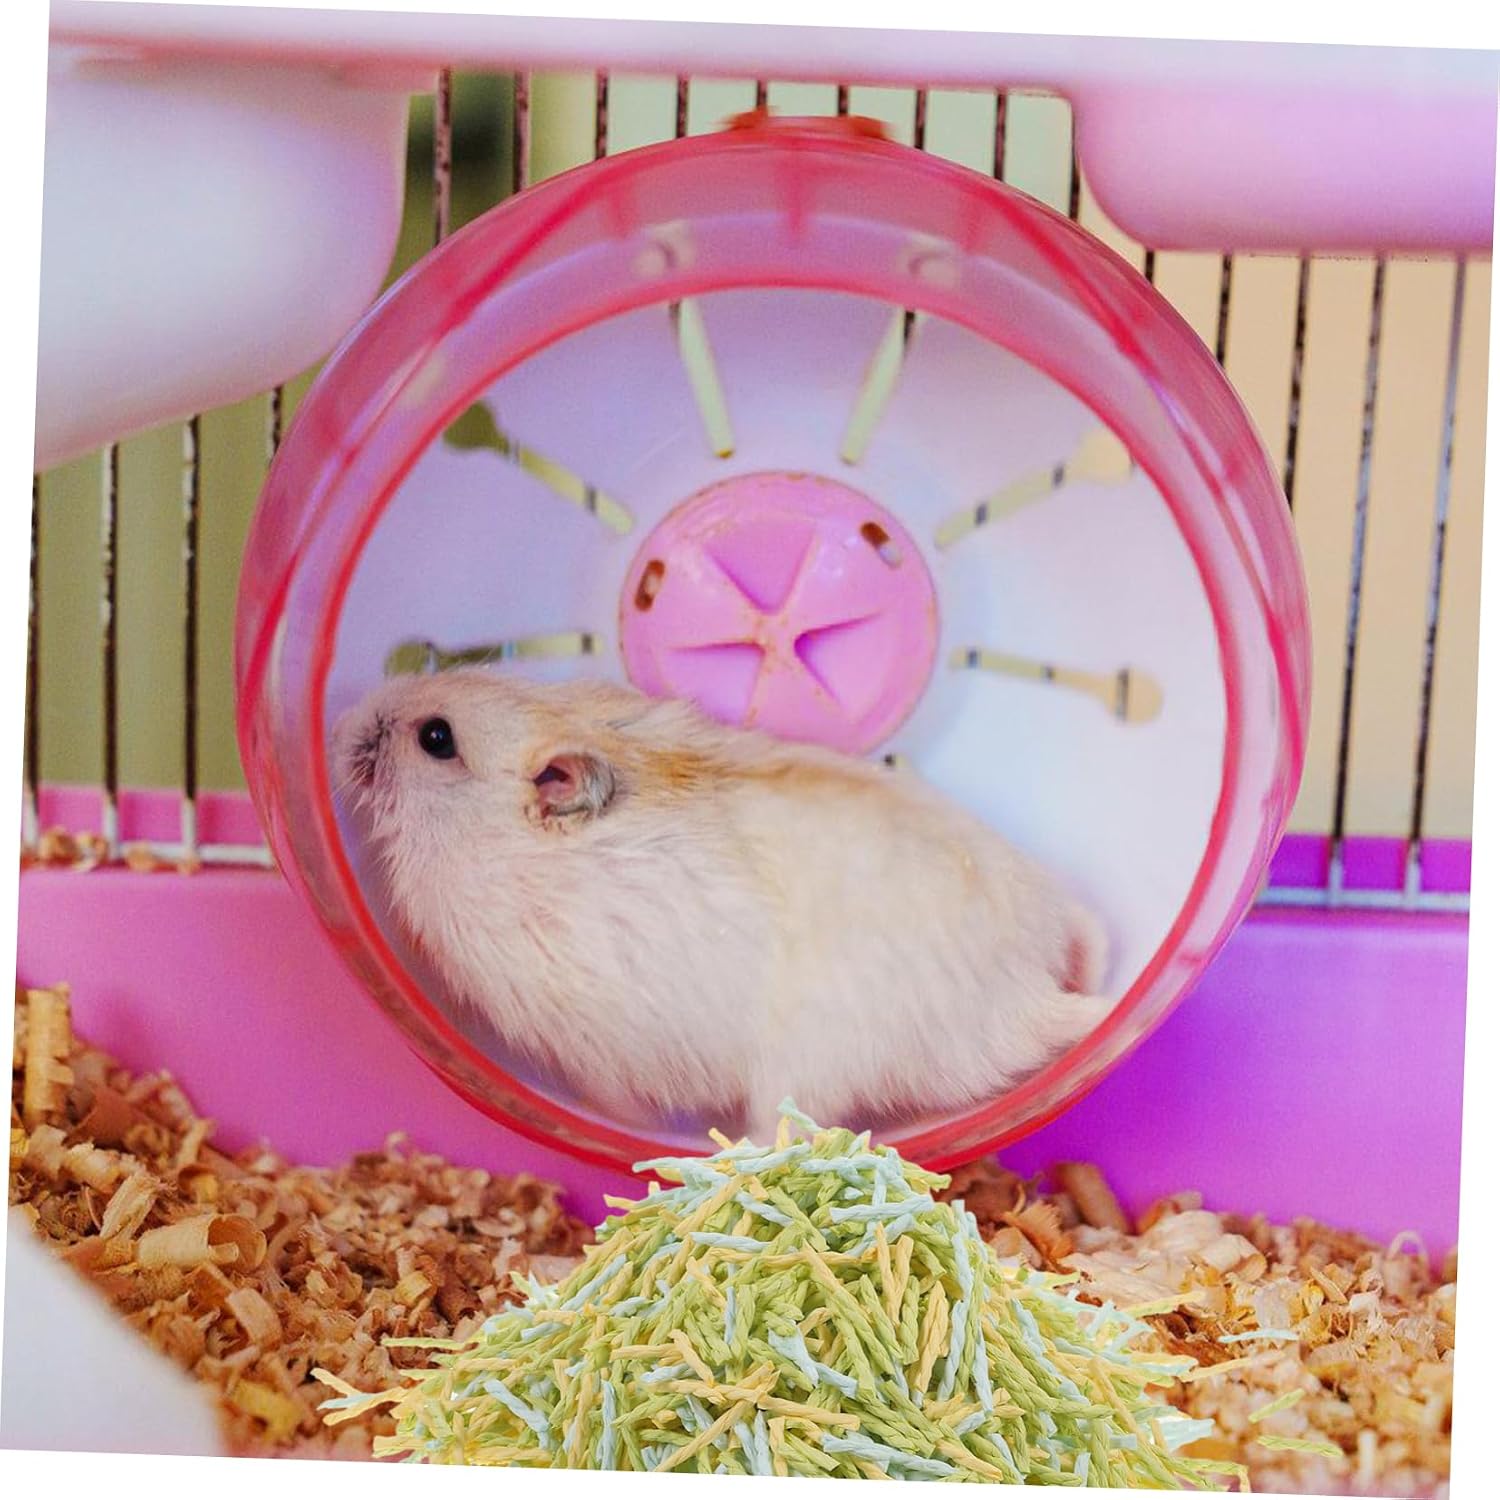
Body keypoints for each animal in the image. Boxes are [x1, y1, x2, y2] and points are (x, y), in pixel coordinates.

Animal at [333, 669, 1112, 1139]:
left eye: (436, 738)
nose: (344, 719)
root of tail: (1024, 996)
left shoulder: (587, 1043)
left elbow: (609, 1099)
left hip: (805, 1071)